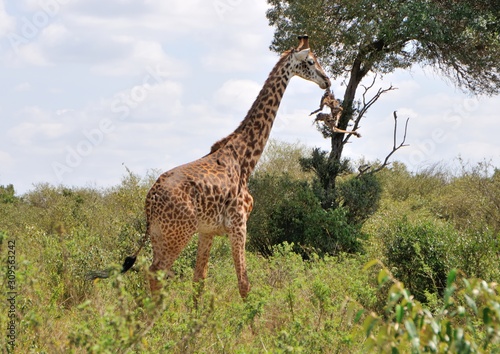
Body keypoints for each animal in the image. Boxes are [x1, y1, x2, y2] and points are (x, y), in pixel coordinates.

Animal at [93, 35, 330, 298]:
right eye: (311, 61)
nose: (326, 81)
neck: (246, 160)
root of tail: (149, 202)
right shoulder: (239, 224)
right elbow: (244, 283)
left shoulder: (207, 231)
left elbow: (199, 280)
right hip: (178, 233)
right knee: (157, 273)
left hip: (160, 235)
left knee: (153, 272)